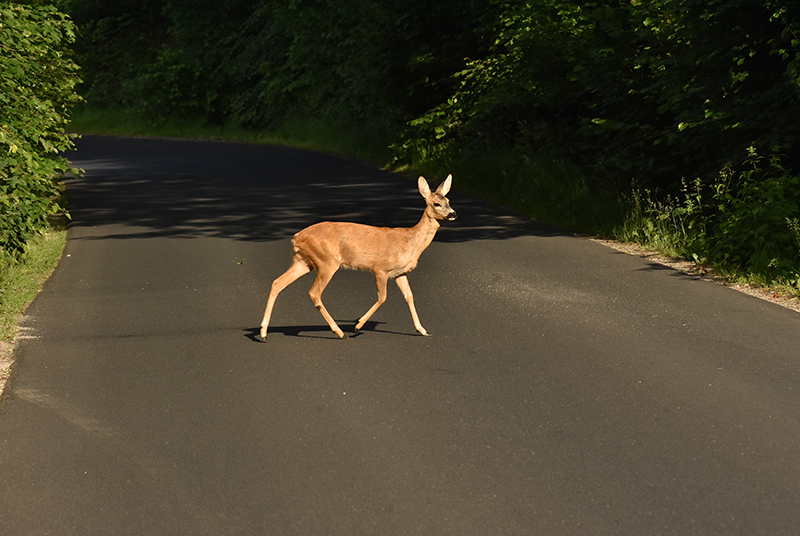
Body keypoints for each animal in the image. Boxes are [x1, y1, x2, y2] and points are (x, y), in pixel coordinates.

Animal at [260, 178, 454, 342]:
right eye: (436, 203)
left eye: (449, 201)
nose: (453, 214)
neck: (410, 242)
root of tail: (297, 237)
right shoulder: (380, 268)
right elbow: (383, 297)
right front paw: (358, 326)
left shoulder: (400, 273)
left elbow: (409, 296)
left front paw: (422, 330)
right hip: (327, 261)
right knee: (314, 292)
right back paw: (339, 332)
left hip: (303, 261)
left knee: (277, 283)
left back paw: (263, 332)